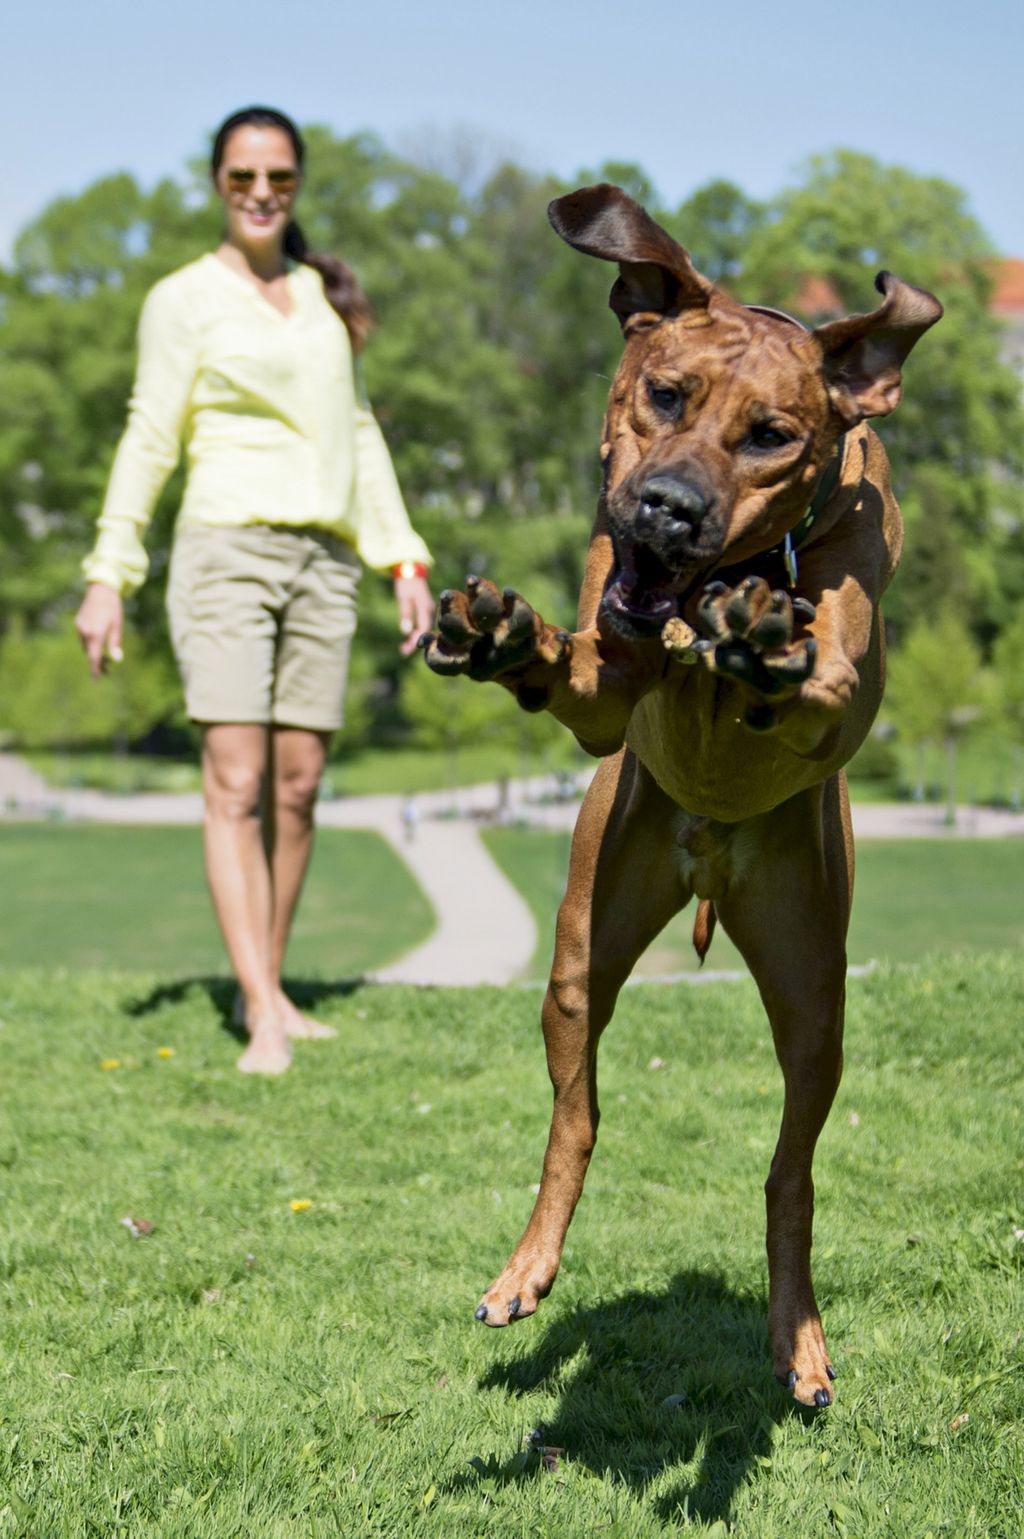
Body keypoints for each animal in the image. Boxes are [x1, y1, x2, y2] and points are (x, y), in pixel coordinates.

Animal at [418, 180, 936, 1409]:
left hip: (814, 993)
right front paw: (508, 635)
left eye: (772, 435)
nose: (664, 509)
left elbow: (820, 679)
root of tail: (709, 858)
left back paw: (798, 1338)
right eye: (664, 394)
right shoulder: (606, 689)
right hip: (581, 951)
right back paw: (527, 1269)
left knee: (790, 1171)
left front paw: (765, 642)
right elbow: (582, 669)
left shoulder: (844, 682)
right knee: (575, 1120)